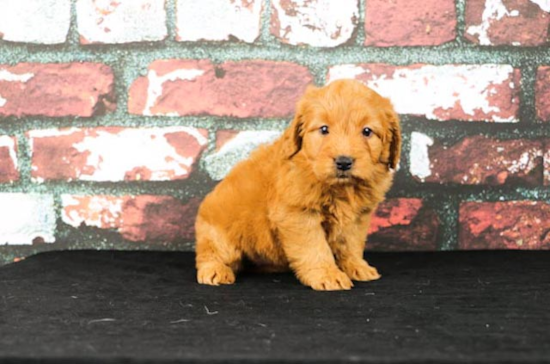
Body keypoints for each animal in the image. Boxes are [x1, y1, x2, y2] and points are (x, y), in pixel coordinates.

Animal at [196, 79, 404, 290]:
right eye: (324, 129)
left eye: (367, 131)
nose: (344, 162)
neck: (340, 188)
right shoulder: (298, 214)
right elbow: (315, 247)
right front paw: (327, 275)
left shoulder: (357, 218)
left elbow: (351, 244)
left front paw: (356, 267)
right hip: (219, 235)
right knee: (211, 255)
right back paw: (215, 270)